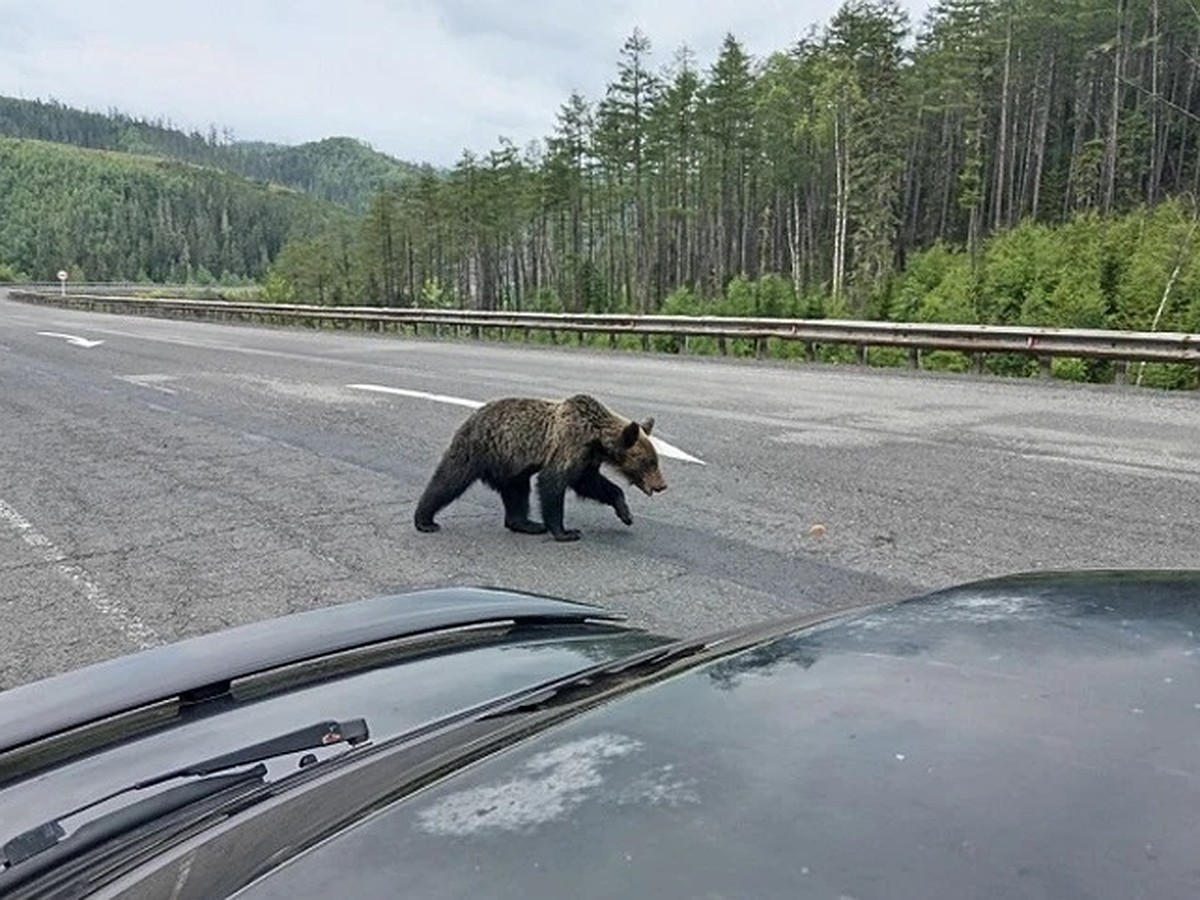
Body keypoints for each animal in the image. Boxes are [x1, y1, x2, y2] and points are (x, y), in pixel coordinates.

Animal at [415, 393, 667, 542]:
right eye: (649, 462)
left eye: (655, 460)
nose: (662, 485)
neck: (597, 440)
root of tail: (471, 418)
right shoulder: (569, 445)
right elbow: (552, 483)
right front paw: (566, 532)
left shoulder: (586, 460)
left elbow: (591, 484)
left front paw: (625, 513)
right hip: (479, 449)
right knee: (449, 479)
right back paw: (425, 521)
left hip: (510, 464)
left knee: (517, 492)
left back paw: (526, 524)